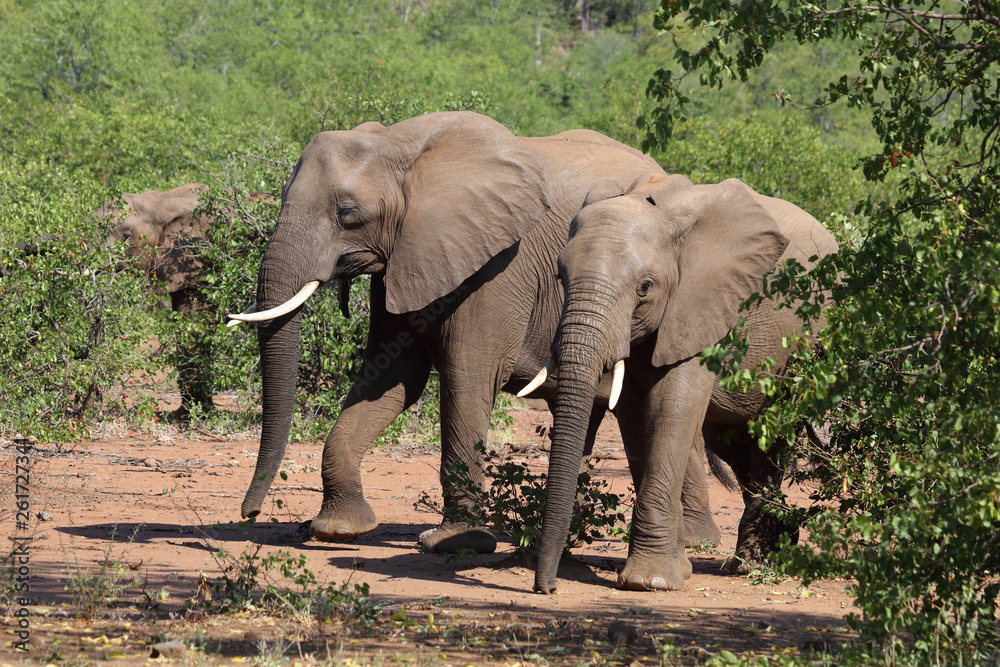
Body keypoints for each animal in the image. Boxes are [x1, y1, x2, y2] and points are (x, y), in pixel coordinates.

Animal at [96, 184, 216, 420]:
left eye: (126, 236)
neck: (162, 202)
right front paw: (186, 415)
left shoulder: (198, 259)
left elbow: (193, 321)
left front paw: (193, 417)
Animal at [227, 111, 724, 554]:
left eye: (347, 213)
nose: (249, 514)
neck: (401, 144)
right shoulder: (405, 256)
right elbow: (393, 378)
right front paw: (339, 530)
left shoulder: (499, 264)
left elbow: (467, 378)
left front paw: (457, 543)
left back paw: (693, 542)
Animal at [531, 174, 839, 593]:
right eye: (561, 277)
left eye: (645, 287)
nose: (546, 587)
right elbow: (635, 416)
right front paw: (676, 568)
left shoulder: (706, 302)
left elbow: (672, 406)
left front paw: (650, 582)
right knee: (734, 445)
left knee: (773, 437)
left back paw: (753, 564)